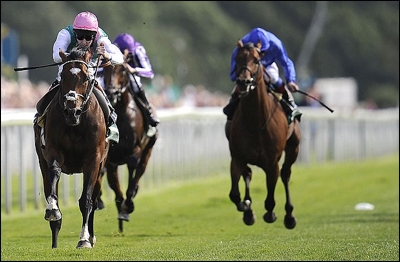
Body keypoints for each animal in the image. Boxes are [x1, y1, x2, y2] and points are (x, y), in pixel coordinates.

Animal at [33, 45, 108, 248]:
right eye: (64, 76)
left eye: (86, 78)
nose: (71, 111)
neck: (76, 124)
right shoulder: (53, 151)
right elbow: (54, 175)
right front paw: (52, 210)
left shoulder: (93, 159)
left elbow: (87, 201)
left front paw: (84, 240)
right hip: (41, 161)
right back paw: (54, 243)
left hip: (101, 167)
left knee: (95, 198)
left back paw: (90, 237)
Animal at [97, 54, 158, 231]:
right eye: (106, 69)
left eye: (123, 69)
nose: (111, 92)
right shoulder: (110, 159)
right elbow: (114, 187)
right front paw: (119, 208)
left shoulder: (135, 151)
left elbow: (132, 176)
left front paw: (128, 205)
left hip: (148, 150)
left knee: (139, 171)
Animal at [225, 39, 300, 229]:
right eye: (237, 59)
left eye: (257, 60)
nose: (243, 82)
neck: (256, 121)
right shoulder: (237, 157)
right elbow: (235, 195)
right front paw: (246, 208)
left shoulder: (272, 162)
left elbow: (270, 196)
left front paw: (270, 213)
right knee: (248, 174)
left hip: (294, 147)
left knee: (286, 174)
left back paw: (289, 215)